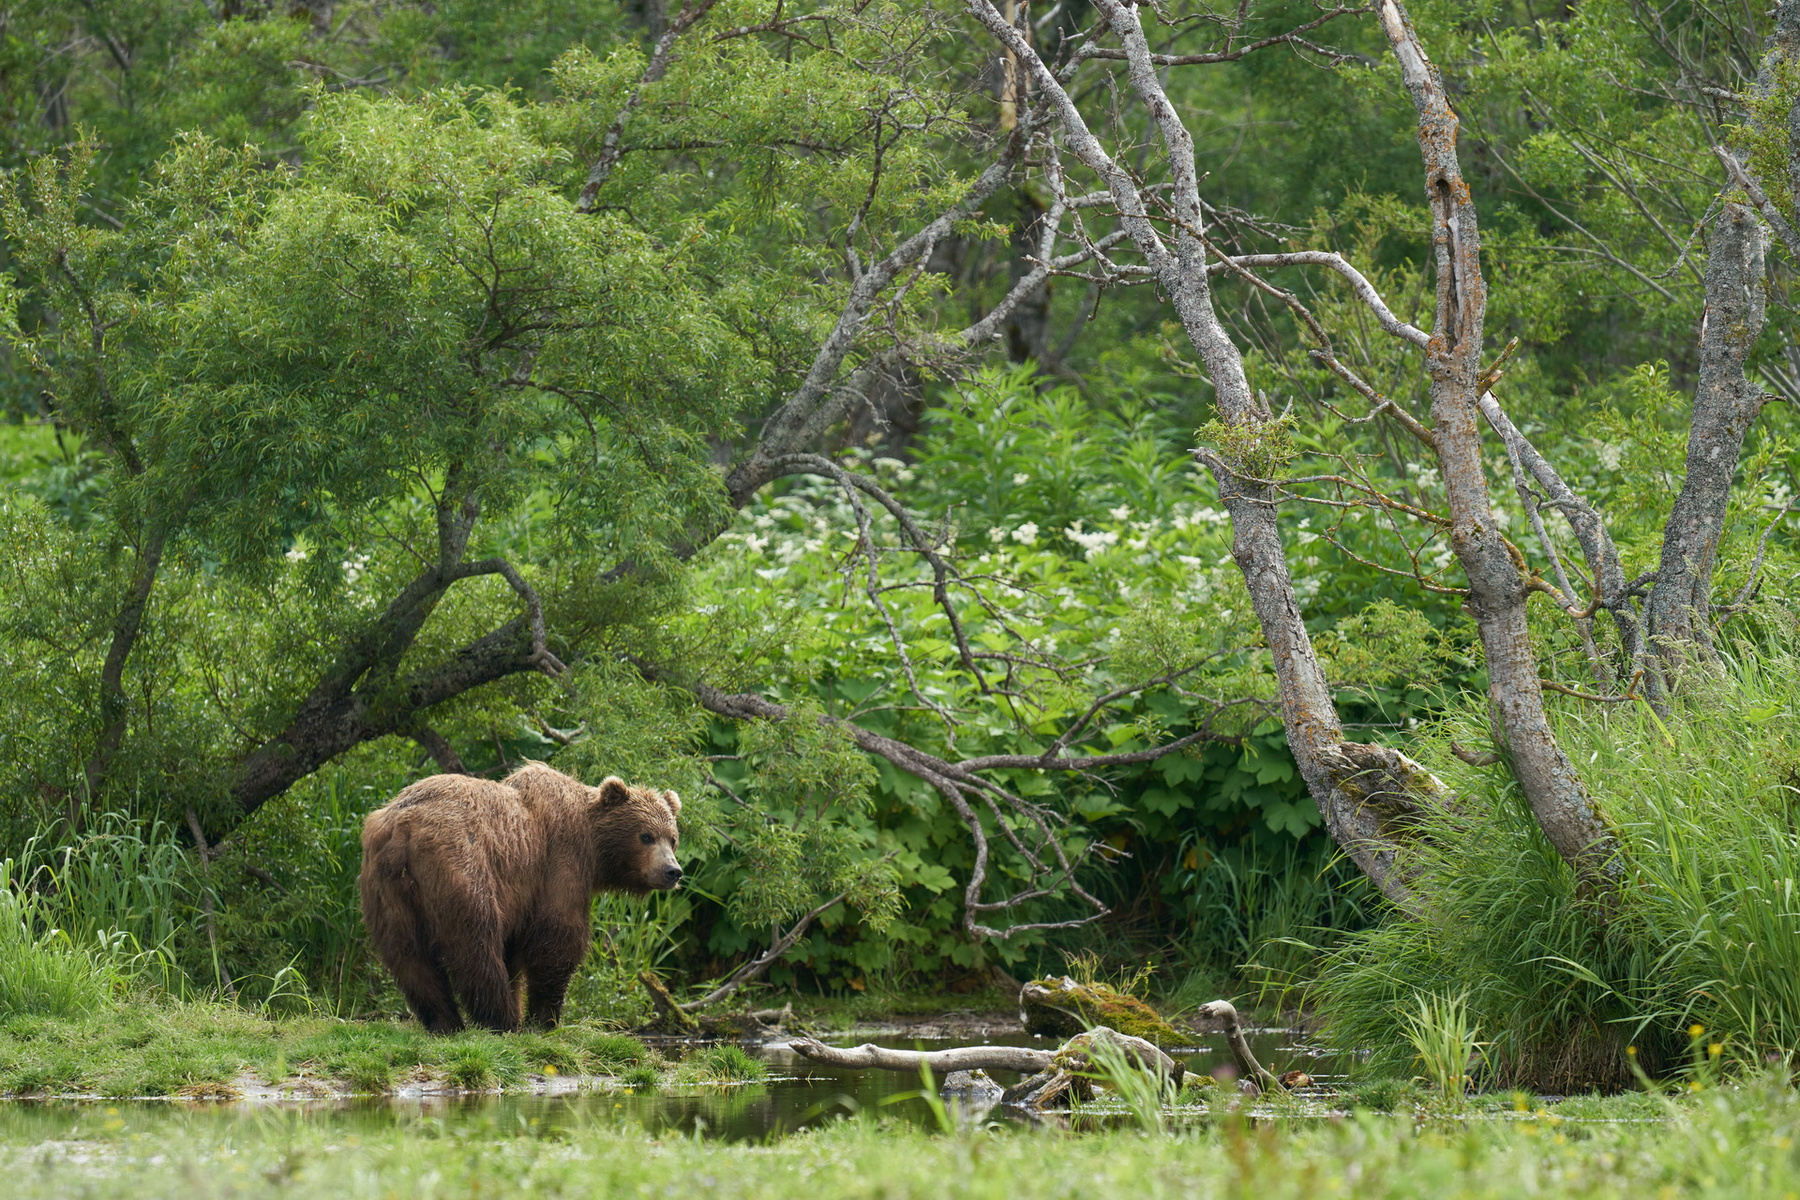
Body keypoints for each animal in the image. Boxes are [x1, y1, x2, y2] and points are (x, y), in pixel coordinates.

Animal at [358, 762, 682, 1034]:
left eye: (673, 838)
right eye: (646, 836)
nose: (673, 871)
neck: (595, 848)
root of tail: (403, 827)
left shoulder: (520, 898)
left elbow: (514, 951)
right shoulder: (560, 861)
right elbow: (558, 939)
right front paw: (545, 1018)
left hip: (386, 889)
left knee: (409, 957)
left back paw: (445, 1022)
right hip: (460, 864)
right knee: (476, 943)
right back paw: (500, 1020)